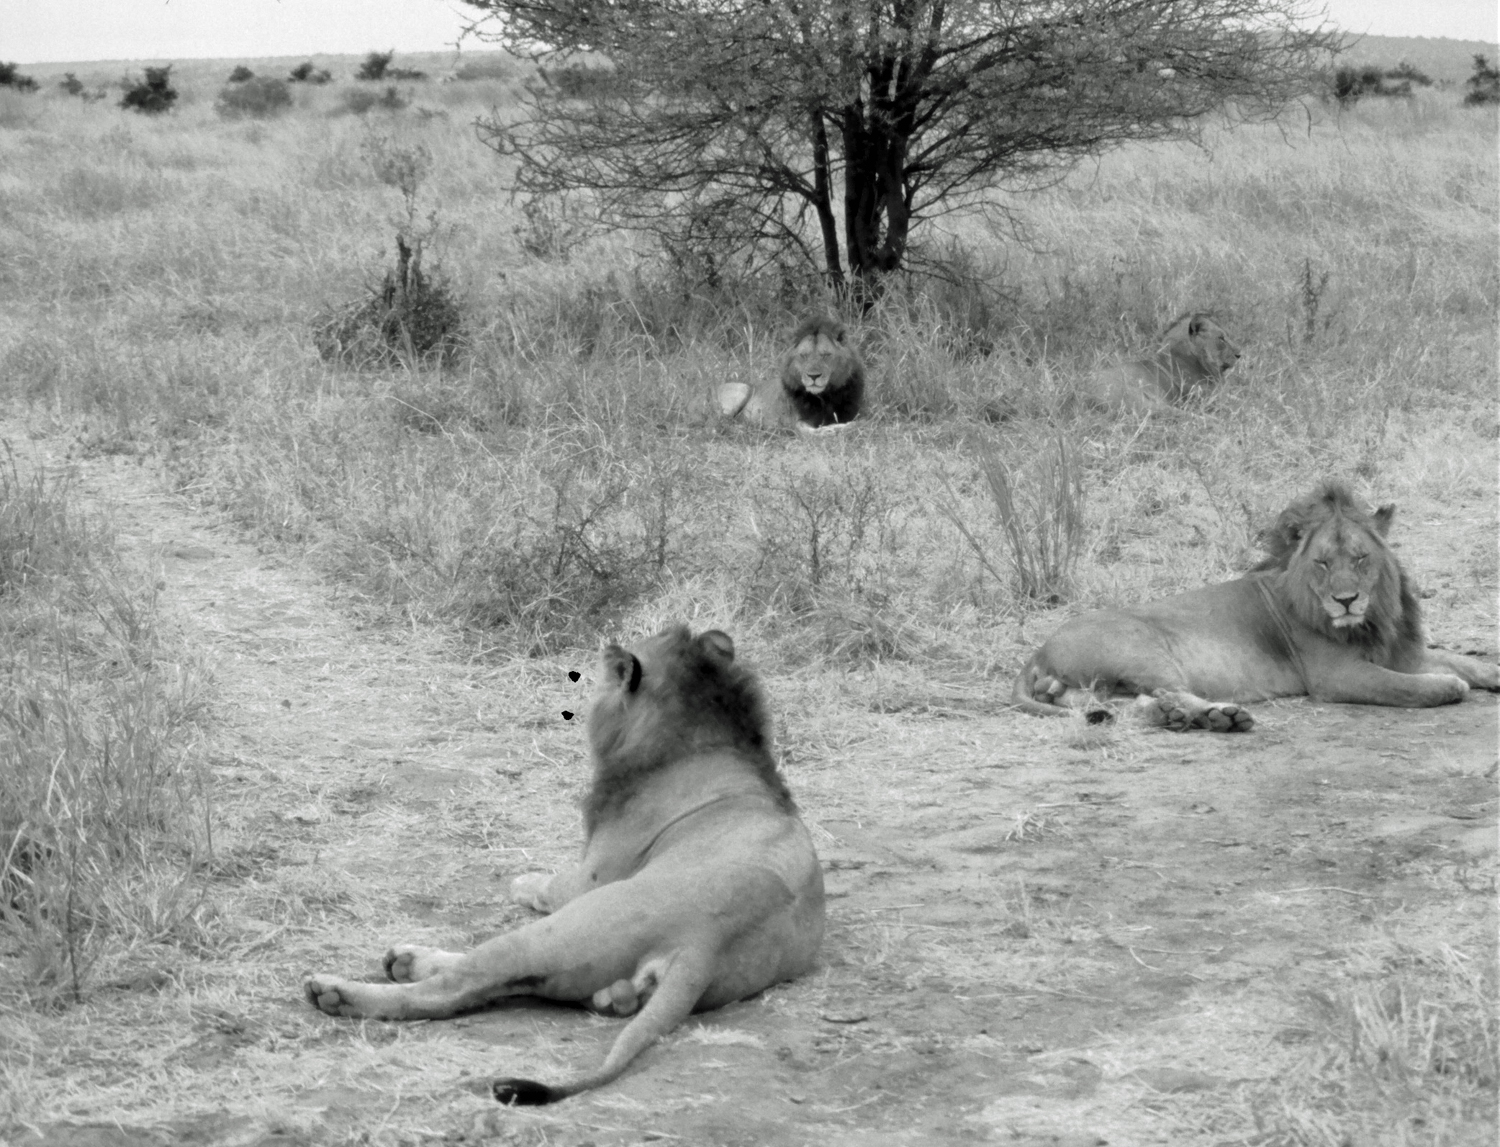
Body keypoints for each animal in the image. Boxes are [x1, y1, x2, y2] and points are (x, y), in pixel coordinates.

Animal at [303, 620, 822, 1103]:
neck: (700, 741)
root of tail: (705, 943)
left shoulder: (593, 874)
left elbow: (548, 883)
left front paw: (522, 881)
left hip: (568, 927)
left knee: (453, 988)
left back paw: (339, 990)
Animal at [717, 310, 870, 431]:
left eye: (826, 355)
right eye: (803, 355)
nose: (813, 376)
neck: (825, 397)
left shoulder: (850, 412)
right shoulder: (798, 423)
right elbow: (816, 432)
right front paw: (835, 429)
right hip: (741, 390)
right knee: (721, 423)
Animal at [1014, 476, 1494, 728]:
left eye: (1361, 558)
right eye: (1322, 563)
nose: (1345, 601)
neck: (1373, 618)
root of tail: (1037, 652)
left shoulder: (1400, 652)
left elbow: (1466, 661)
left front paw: (1489, 672)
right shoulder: (1336, 675)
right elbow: (1406, 686)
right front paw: (1448, 686)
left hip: (1095, 688)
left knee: (1123, 706)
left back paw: (1184, 717)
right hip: (1141, 649)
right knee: (1165, 692)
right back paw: (1217, 715)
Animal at [1092, 313, 1242, 416]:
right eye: (1221, 338)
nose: (1240, 354)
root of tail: (1087, 395)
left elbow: (1239, 397)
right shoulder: (1206, 397)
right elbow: (1238, 404)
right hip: (1146, 402)